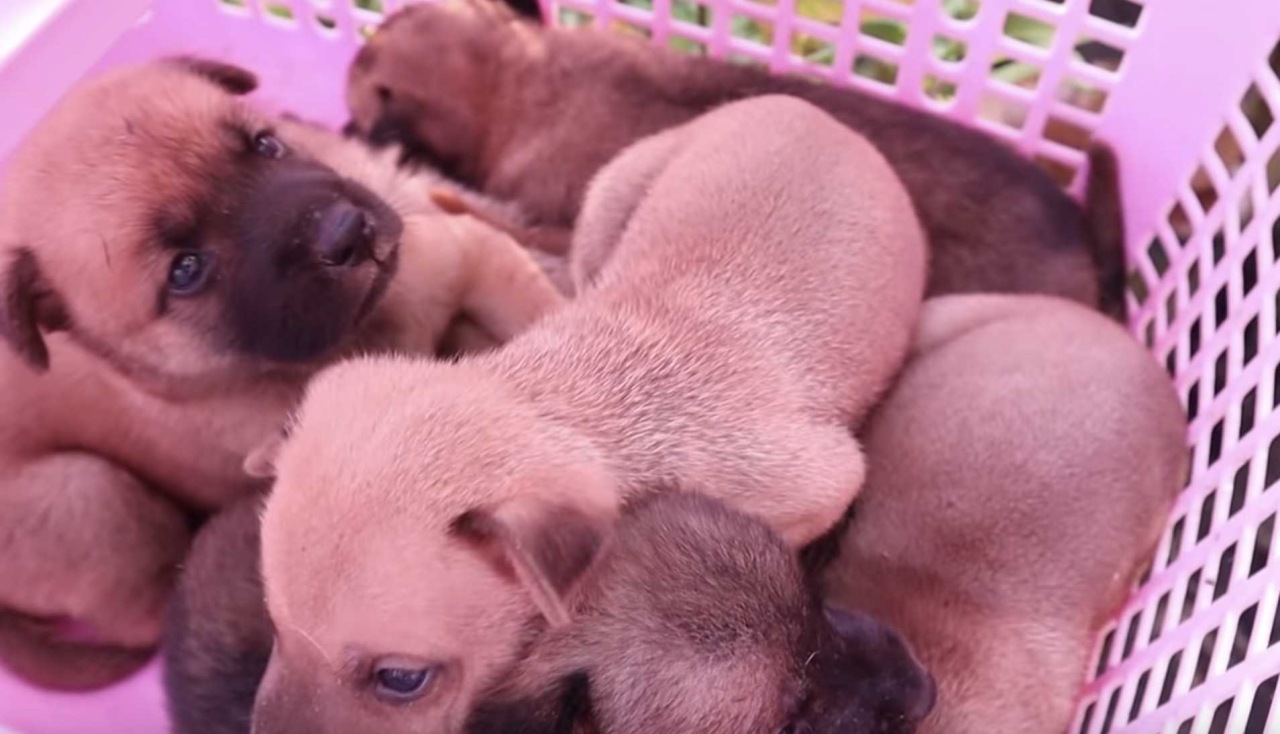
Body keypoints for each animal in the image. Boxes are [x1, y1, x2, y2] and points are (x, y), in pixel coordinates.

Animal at [0, 55, 560, 686]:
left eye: (265, 144)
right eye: (185, 271)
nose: (347, 232)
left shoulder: (464, 251)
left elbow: (542, 307)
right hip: (99, 500)